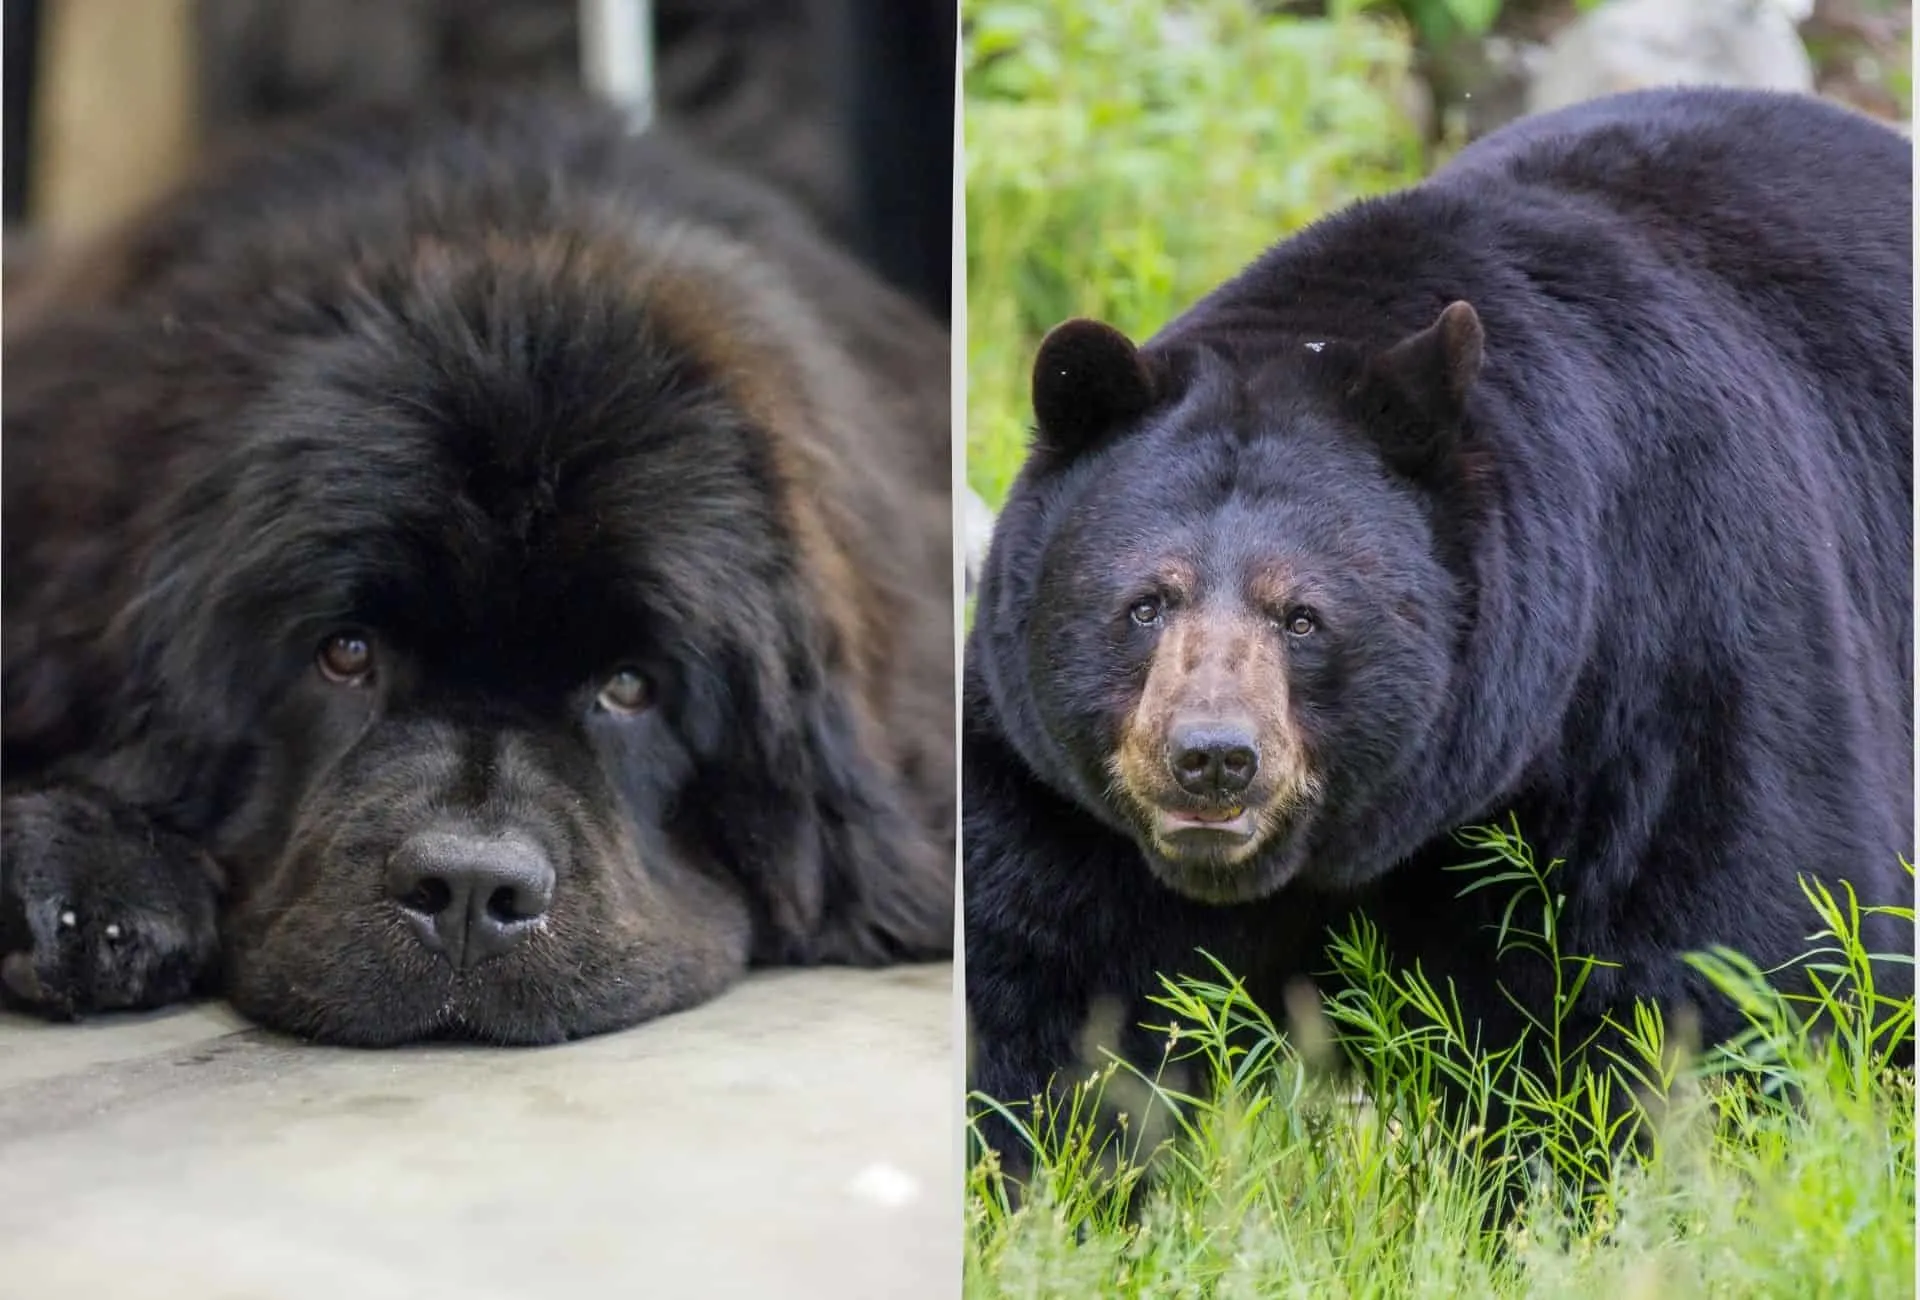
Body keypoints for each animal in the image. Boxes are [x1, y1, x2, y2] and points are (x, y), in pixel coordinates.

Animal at [967, 91, 1912, 1167]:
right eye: (1146, 602)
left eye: (1303, 616)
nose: (1211, 759)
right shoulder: (1065, 801)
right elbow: (1052, 990)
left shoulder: (1678, 656)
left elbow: (1724, 957)